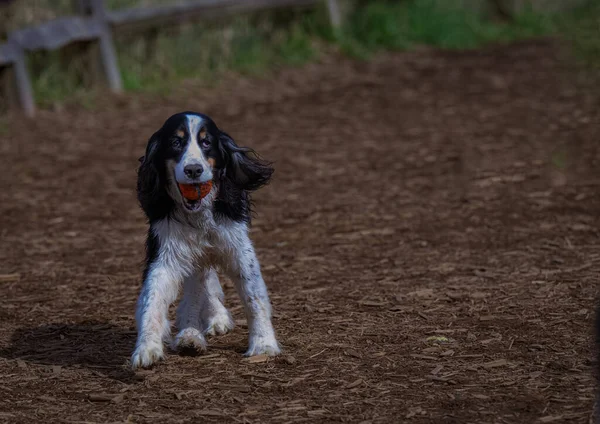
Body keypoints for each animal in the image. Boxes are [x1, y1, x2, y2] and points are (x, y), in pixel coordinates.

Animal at [131, 112, 278, 368]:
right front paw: (147, 348)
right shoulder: (166, 252)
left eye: (206, 142)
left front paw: (264, 345)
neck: (199, 215)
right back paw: (191, 336)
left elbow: (254, 297)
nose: (193, 170)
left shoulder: (238, 249)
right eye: (176, 142)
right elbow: (153, 299)